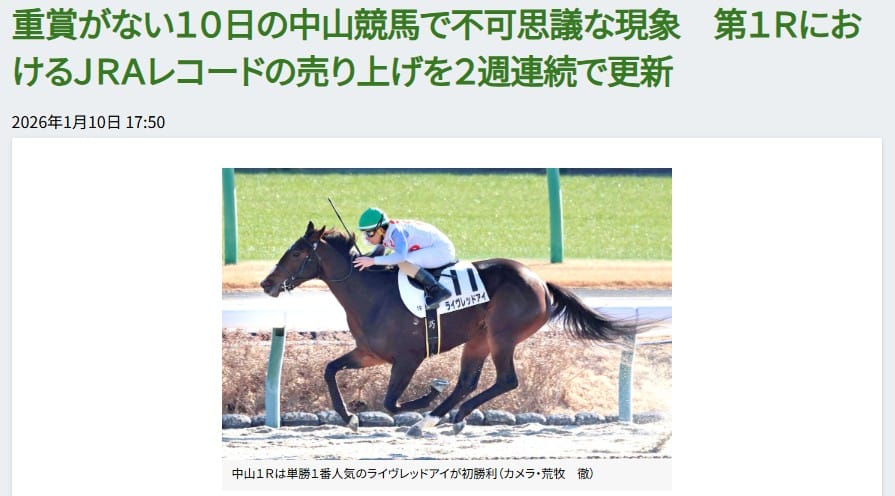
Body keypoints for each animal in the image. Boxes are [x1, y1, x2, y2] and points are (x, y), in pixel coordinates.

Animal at [260, 221, 642, 435]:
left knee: (506, 380)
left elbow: (390, 402)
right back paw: (440, 418)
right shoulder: (370, 353)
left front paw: (429, 393)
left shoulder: (408, 358)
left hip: (502, 335)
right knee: (468, 382)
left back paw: (440, 416)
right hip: (478, 339)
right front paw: (349, 418)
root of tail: (541, 282)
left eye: (296, 253)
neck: (371, 294)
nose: (266, 283)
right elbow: (330, 370)